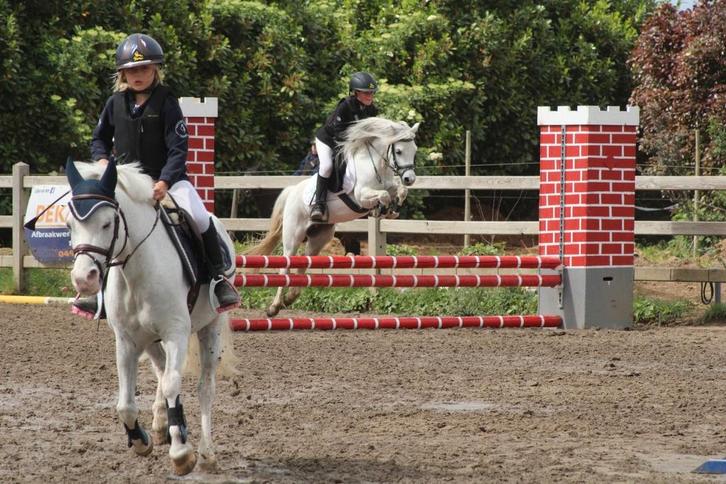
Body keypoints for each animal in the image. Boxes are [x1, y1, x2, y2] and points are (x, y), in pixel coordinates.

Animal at [64, 159, 235, 476]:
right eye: (69, 225)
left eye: (107, 223)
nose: (84, 279)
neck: (136, 271)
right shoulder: (126, 340)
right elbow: (126, 404)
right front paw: (141, 440)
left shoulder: (176, 333)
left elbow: (173, 384)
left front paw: (182, 453)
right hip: (150, 340)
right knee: (161, 369)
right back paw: (161, 423)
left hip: (211, 327)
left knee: (204, 387)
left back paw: (206, 453)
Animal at [247, 117, 420, 316]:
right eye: (398, 151)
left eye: (414, 150)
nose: (409, 178)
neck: (376, 165)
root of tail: (291, 192)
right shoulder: (361, 195)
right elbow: (383, 195)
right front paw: (382, 208)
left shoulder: (389, 186)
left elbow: (399, 190)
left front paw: (392, 207)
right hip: (293, 236)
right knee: (286, 266)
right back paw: (274, 307)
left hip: (319, 237)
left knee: (303, 264)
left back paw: (290, 298)